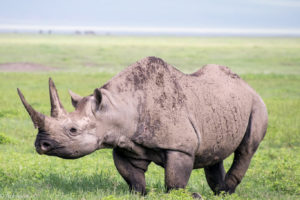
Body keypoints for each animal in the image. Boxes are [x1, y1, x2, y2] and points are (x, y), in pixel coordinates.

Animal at [17, 57, 268, 198]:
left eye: (72, 131)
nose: (41, 145)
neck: (117, 107)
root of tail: (246, 84)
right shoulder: (124, 144)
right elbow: (133, 178)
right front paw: (144, 194)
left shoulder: (180, 147)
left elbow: (174, 182)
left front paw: (181, 195)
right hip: (221, 105)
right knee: (216, 152)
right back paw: (220, 192)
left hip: (257, 103)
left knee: (247, 148)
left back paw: (226, 192)